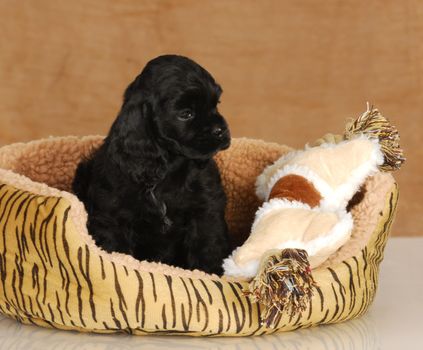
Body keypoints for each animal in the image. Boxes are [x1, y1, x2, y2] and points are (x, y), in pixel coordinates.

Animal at [73, 54, 232, 274]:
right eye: (186, 113)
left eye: (216, 104)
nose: (221, 130)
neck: (168, 168)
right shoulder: (113, 217)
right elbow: (117, 249)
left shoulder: (206, 211)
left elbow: (209, 246)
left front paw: (211, 273)